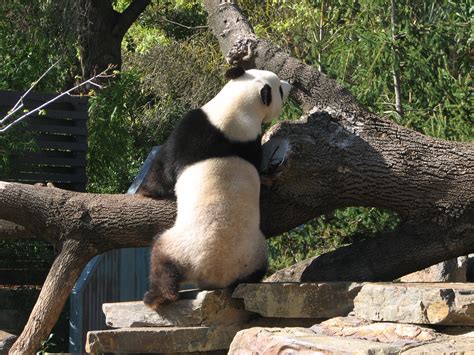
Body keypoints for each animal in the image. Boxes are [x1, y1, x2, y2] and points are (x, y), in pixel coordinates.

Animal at [139, 67, 290, 312]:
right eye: (280, 89)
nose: (289, 86)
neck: (238, 110)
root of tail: (214, 275)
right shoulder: (249, 144)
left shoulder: (192, 132)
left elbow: (165, 167)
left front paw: (146, 191)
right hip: (254, 253)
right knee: (255, 271)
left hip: (182, 245)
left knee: (161, 260)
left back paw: (157, 297)